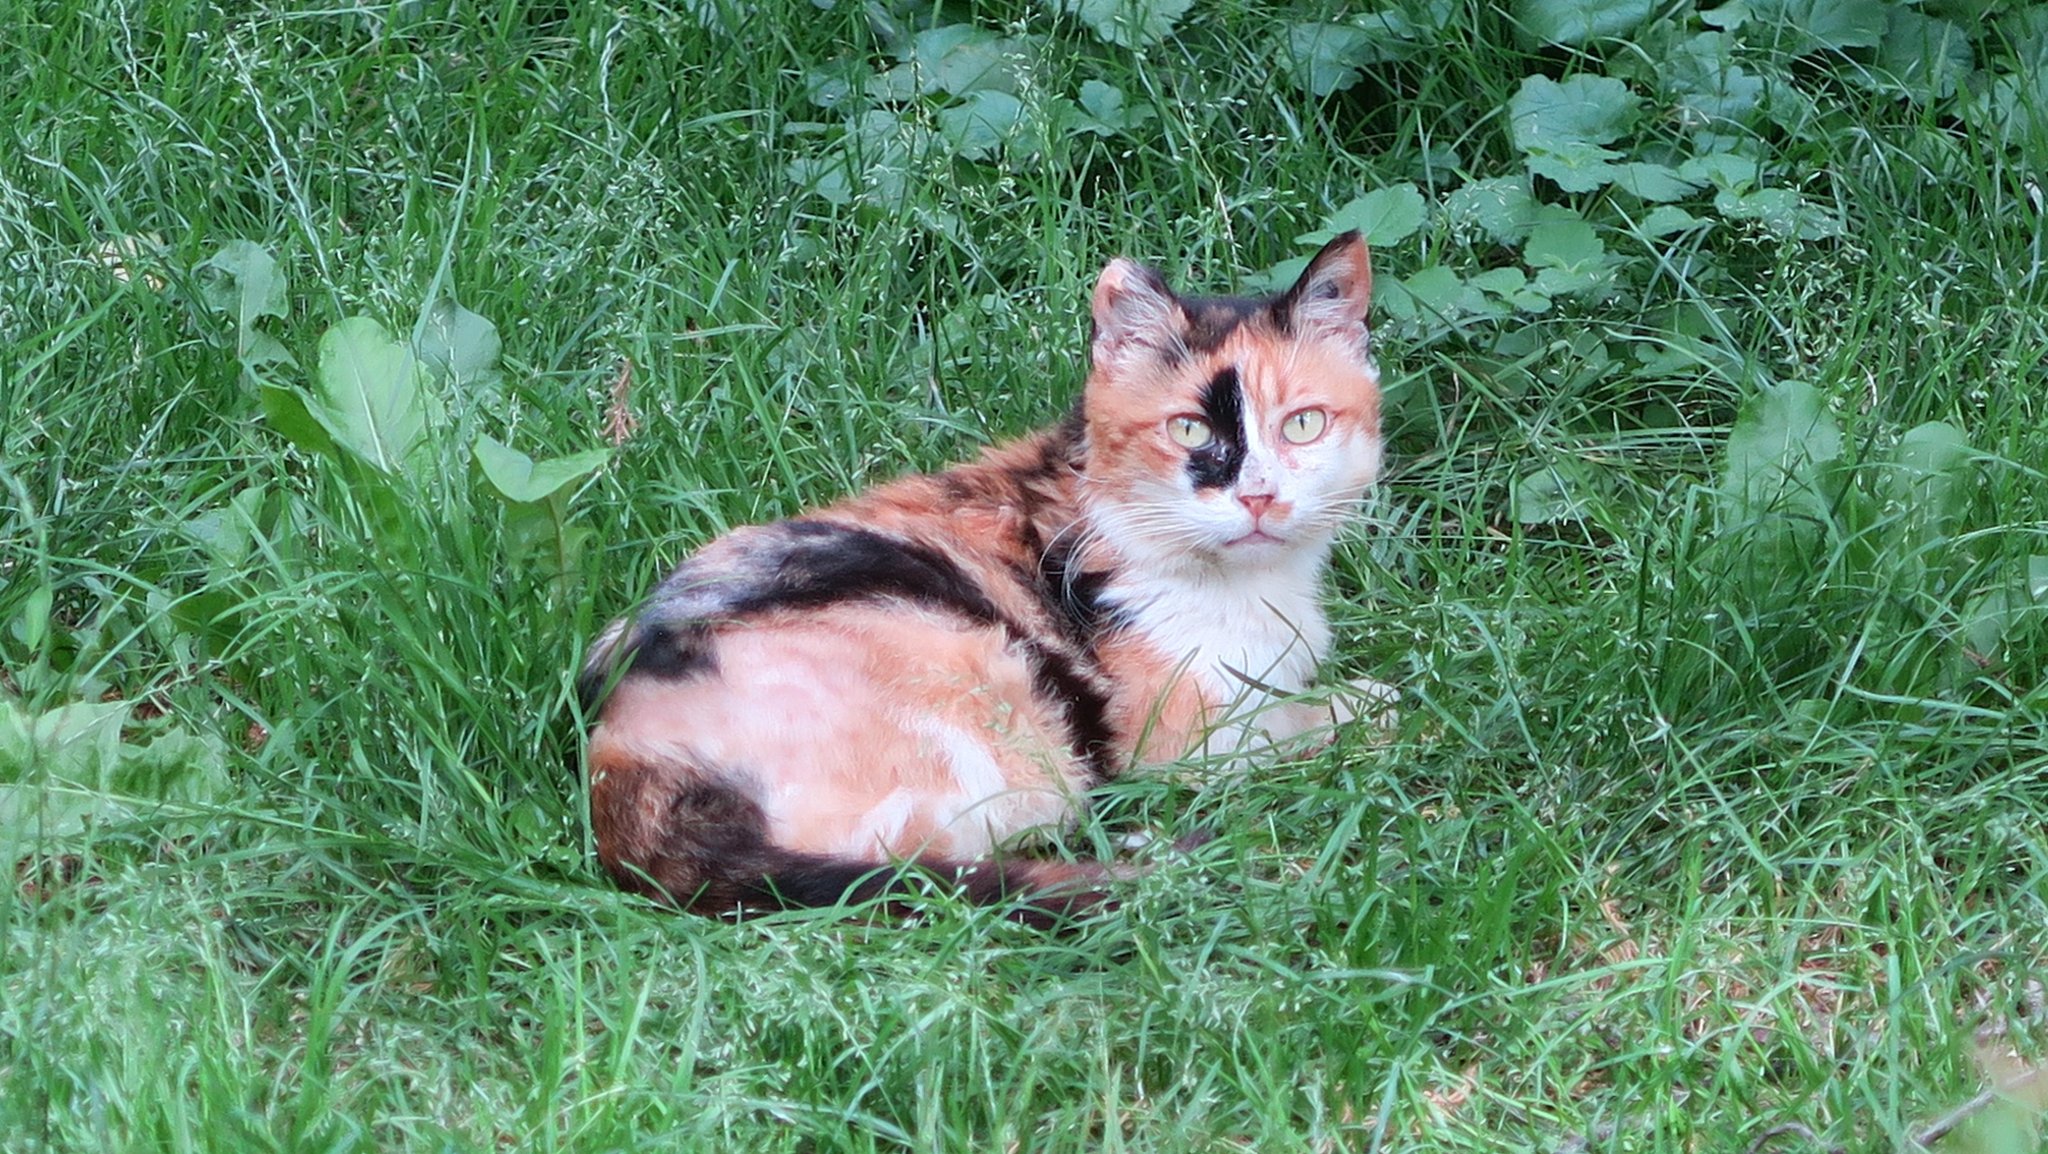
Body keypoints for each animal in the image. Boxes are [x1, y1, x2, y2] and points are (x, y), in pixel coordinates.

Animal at [577, 230, 1386, 921]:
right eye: (1189, 428)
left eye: (1303, 424)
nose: (1258, 494)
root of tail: (624, 765)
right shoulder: (1178, 740)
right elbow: (1310, 717)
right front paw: (1361, 705)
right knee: (932, 856)